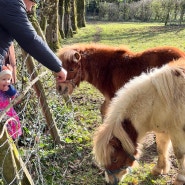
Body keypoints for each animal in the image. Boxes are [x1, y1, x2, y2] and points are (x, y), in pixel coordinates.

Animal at [56, 44, 185, 116]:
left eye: (72, 69)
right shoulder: (109, 98)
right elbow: (103, 110)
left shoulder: (113, 97)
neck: (107, 68)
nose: (60, 88)